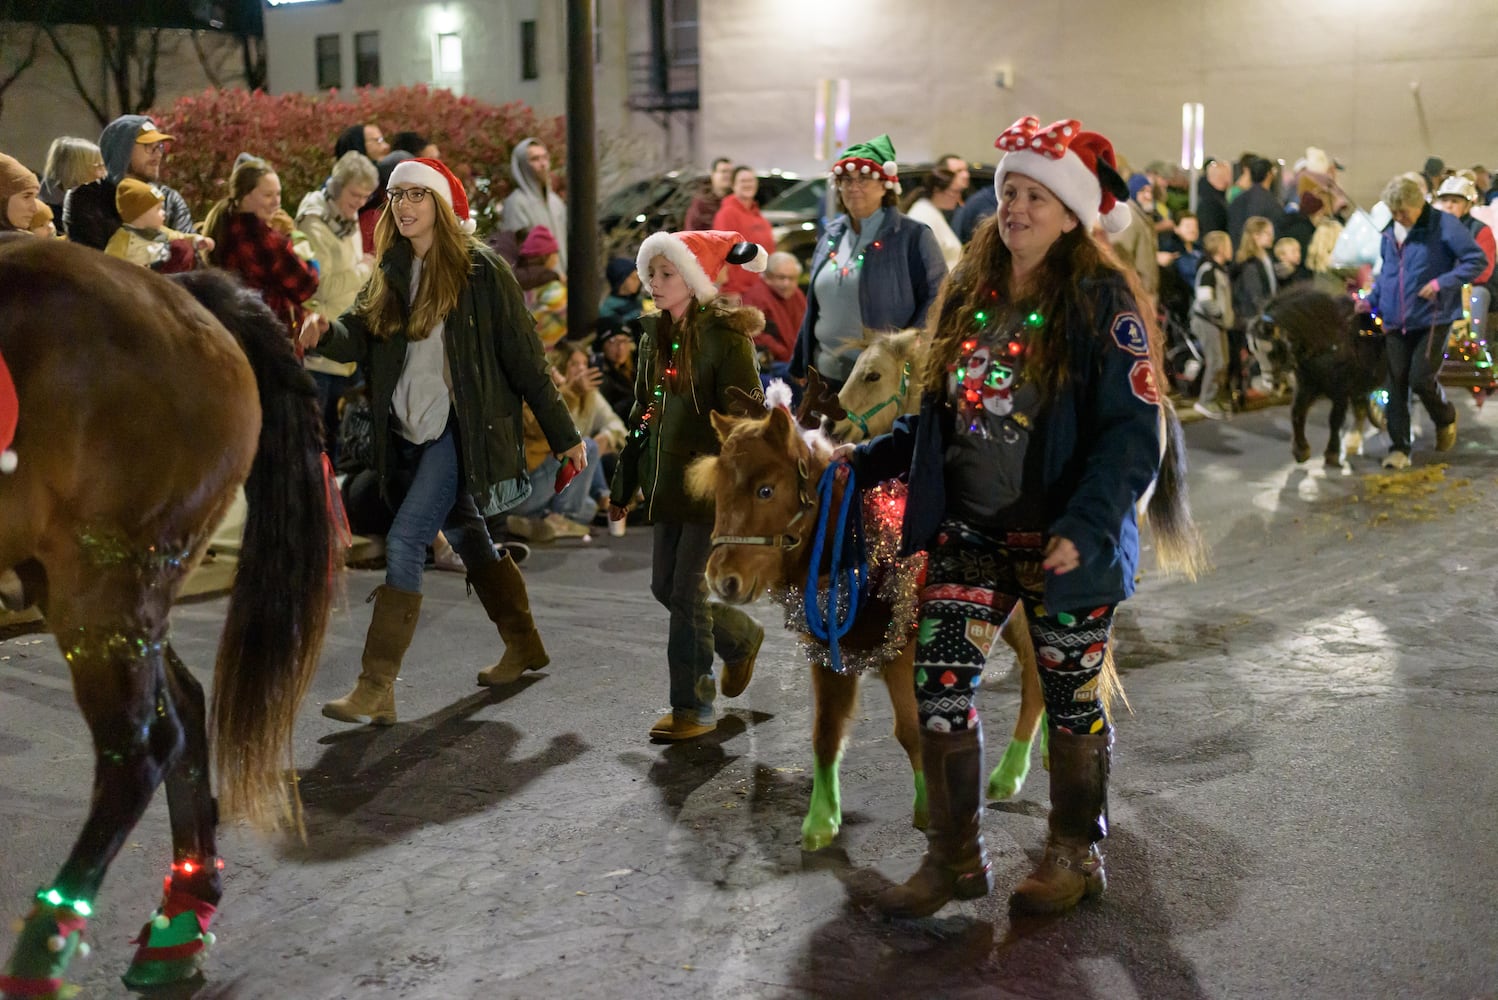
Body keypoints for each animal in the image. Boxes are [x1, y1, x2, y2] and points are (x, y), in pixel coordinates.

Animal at [0, 238, 337, 994]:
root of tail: (179, 293)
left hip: (103, 583)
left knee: (142, 748)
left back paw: (45, 947)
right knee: (180, 709)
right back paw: (181, 915)